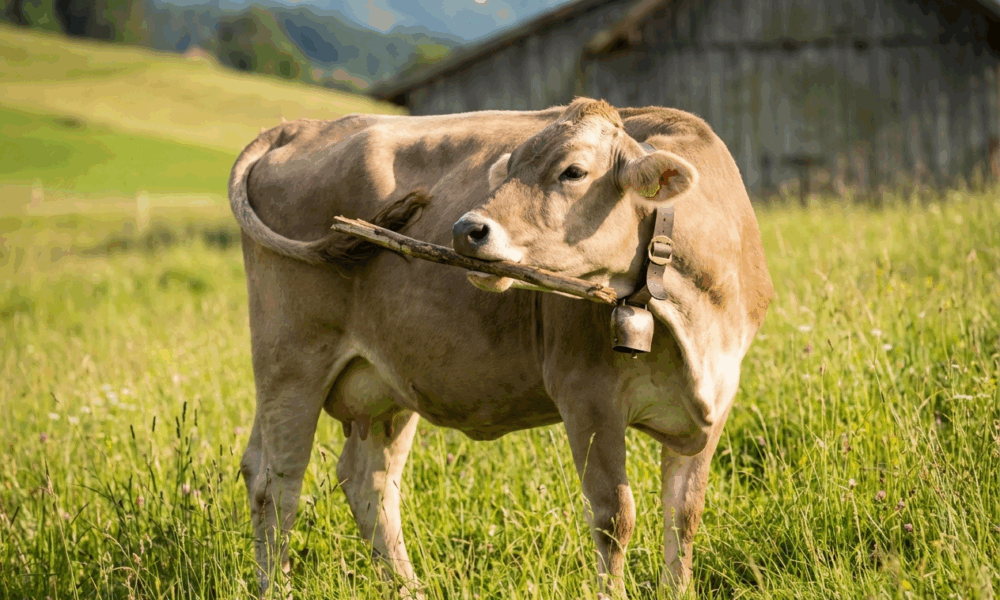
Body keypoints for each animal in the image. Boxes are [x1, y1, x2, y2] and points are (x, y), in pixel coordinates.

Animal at [228, 98, 772, 598]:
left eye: (574, 171)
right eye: (508, 169)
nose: (465, 229)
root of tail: (299, 127)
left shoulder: (716, 398)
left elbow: (684, 513)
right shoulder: (586, 394)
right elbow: (614, 516)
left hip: (385, 380)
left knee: (367, 483)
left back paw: (410, 588)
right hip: (290, 361)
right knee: (275, 484)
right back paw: (275, 587)